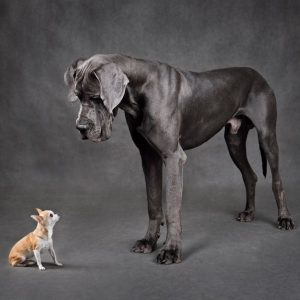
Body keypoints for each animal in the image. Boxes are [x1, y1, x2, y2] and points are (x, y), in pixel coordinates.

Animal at [63, 54, 296, 264]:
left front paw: (171, 250)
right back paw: (249, 212)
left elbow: (172, 209)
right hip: (234, 142)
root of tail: (258, 74)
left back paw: (284, 218)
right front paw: (149, 241)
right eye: (78, 96)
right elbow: (153, 203)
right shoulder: (148, 156)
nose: (81, 127)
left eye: (96, 97)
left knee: (277, 181)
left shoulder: (173, 157)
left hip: (267, 137)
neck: (140, 89)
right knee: (250, 175)